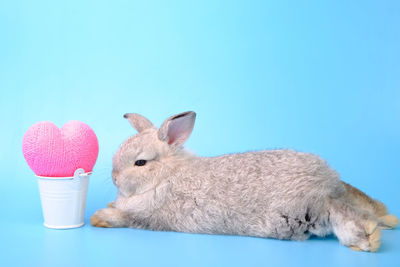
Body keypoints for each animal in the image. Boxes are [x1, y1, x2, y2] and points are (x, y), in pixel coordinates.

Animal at [92, 111, 398, 253]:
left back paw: (368, 239)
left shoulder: (151, 217)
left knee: (342, 213)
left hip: (307, 210)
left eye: (140, 163)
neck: (167, 175)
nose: (114, 177)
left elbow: (126, 218)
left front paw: (100, 217)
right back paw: (387, 219)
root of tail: (326, 181)